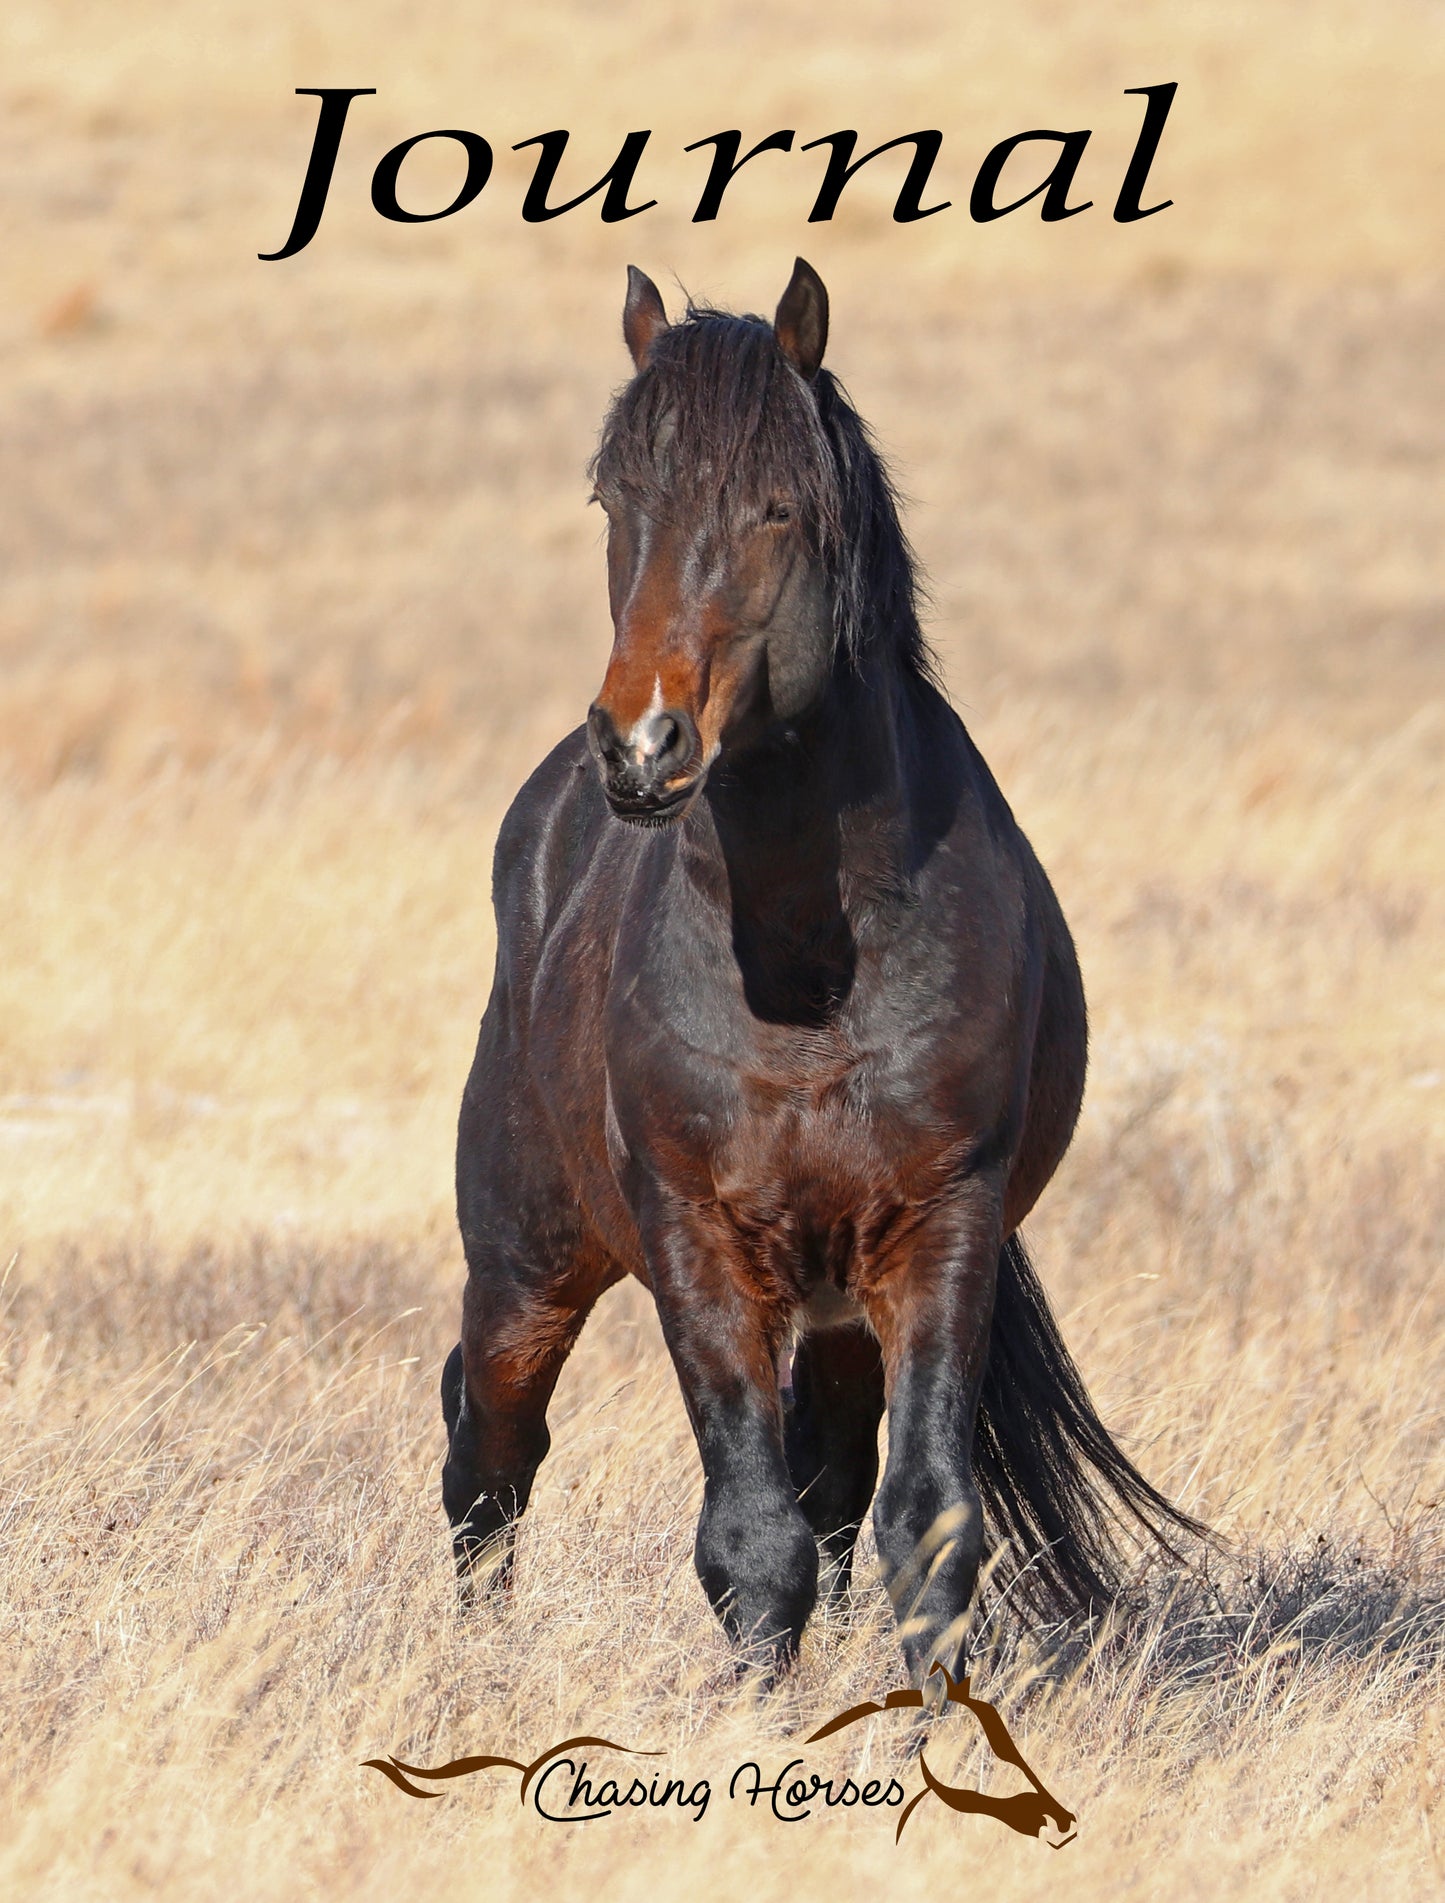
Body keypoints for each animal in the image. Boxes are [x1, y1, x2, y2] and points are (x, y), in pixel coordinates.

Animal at [441, 259, 1202, 1680]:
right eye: (612, 498)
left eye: (778, 506)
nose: (640, 744)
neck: (804, 974)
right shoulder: (697, 1242)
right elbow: (749, 1538)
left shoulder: (937, 1233)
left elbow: (917, 1521)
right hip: (526, 1257)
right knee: (489, 1447)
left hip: (836, 1309)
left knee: (831, 1475)